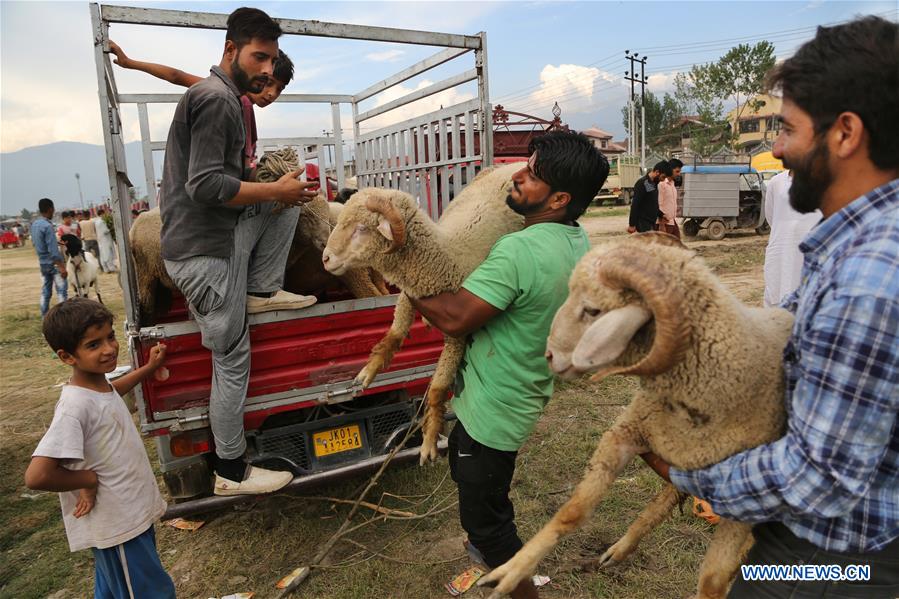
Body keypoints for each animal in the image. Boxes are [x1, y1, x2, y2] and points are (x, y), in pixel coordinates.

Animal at [322, 163, 528, 464]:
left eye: (361, 228)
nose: (325, 258)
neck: (444, 259)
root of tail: (514, 164)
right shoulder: (409, 297)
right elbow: (394, 335)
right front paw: (368, 371)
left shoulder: (458, 333)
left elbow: (438, 390)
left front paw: (429, 441)